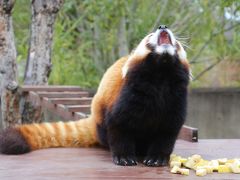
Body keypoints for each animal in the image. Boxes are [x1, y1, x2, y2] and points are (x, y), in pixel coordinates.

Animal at [0, 24, 191, 167]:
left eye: (177, 43)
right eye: (150, 35)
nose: (163, 26)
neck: (161, 75)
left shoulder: (176, 101)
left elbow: (167, 134)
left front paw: (157, 158)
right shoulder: (125, 98)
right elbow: (119, 127)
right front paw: (124, 157)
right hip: (101, 118)